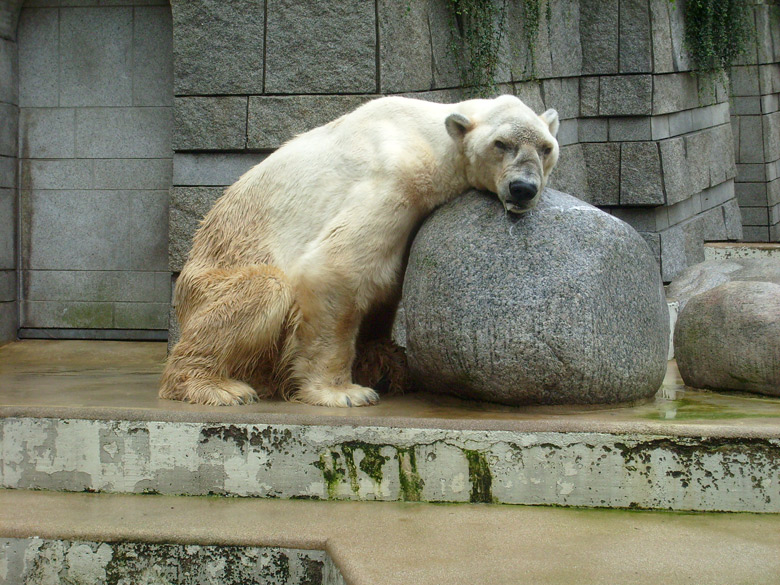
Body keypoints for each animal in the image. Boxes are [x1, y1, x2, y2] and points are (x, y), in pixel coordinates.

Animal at [160, 94, 560, 406]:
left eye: (546, 148)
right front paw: (344, 391)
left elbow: (388, 286)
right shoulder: (394, 179)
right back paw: (216, 386)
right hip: (209, 280)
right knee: (264, 289)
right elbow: (338, 269)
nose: (523, 188)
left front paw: (380, 361)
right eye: (501, 144)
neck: (428, 137)